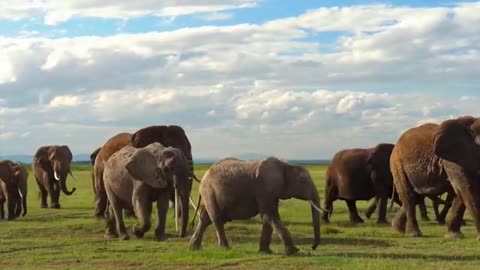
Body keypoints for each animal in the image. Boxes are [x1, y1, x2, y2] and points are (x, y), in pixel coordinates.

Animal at [189, 157, 324, 254]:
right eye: (303, 181)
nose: (313, 247)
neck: (285, 165)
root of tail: (203, 178)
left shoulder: (271, 193)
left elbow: (267, 217)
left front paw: (266, 252)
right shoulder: (264, 189)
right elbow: (270, 215)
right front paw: (294, 251)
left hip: (210, 195)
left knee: (205, 218)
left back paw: (194, 248)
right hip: (209, 192)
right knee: (216, 219)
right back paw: (226, 249)